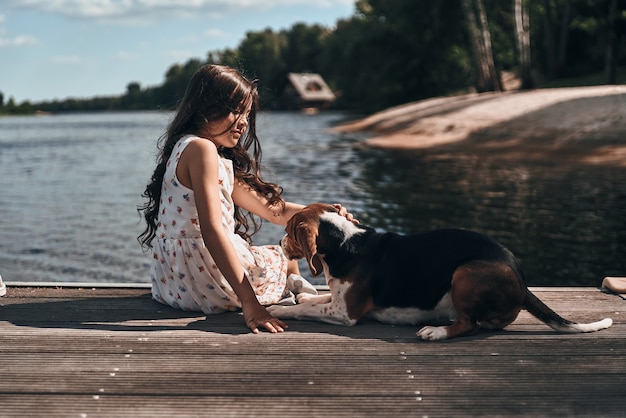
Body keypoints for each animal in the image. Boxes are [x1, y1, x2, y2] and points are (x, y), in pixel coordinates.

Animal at [266, 203, 608, 340]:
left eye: (289, 230)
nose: (280, 242)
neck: (345, 242)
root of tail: (521, 283)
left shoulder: (344, 313)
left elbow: (304, 310)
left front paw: (280, 311)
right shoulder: (336, 300)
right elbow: (313, 301)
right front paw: (292, 301)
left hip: (465, 272)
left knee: (470, 325)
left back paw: (436, 331)